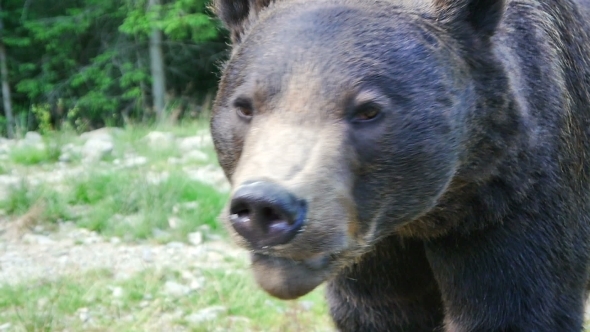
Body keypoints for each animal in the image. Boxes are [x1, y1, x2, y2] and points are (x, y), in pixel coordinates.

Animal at [210, 0, 590, 330]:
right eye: (244, 106)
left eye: (368, 110)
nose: (263, 207)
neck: (418, 219)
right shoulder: (378, 259)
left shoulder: (509, 202)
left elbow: (515, 308)